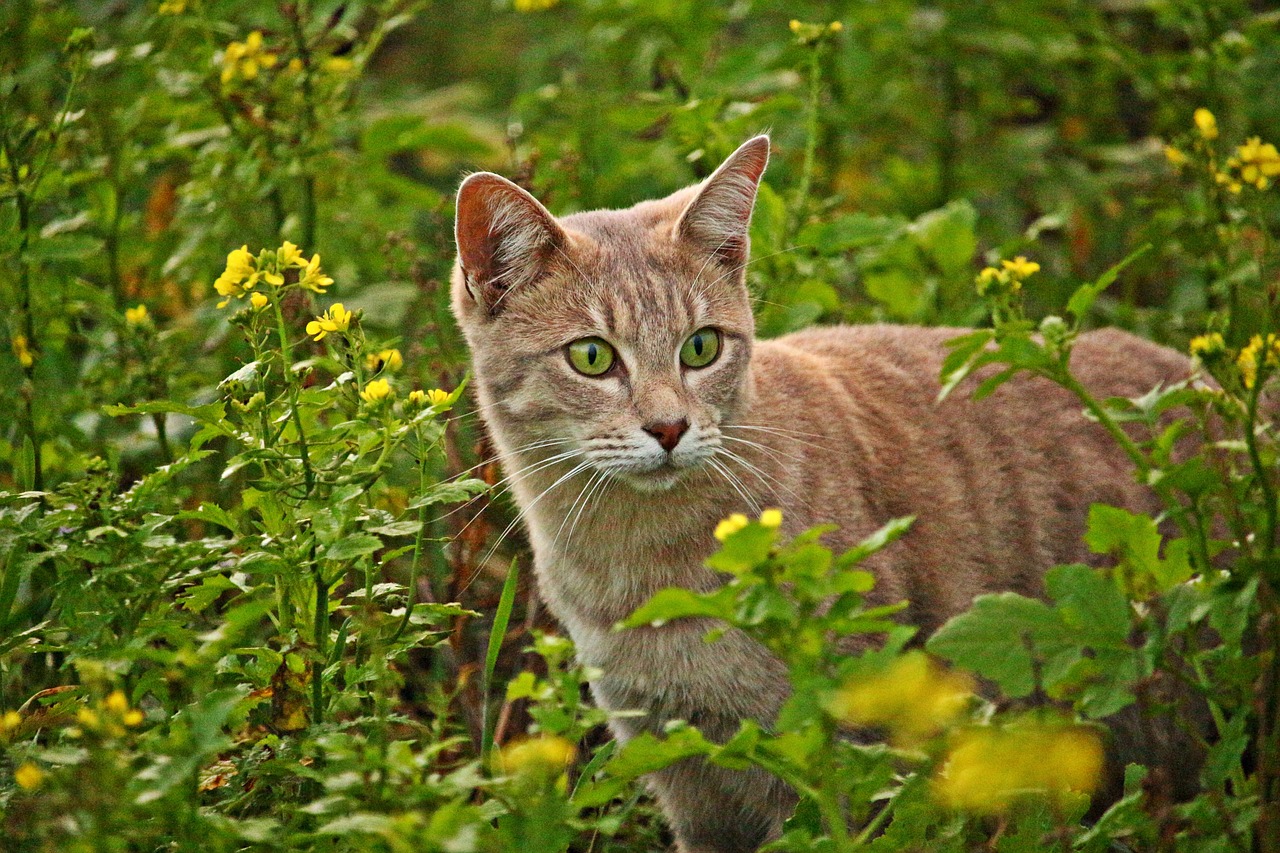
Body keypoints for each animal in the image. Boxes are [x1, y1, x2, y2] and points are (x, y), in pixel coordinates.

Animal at [448, 136, 1187, 845]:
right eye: (592, 356)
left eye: (701, 347)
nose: (669, 426)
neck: (640, 565)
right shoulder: (682, 771)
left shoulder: (835, 760)